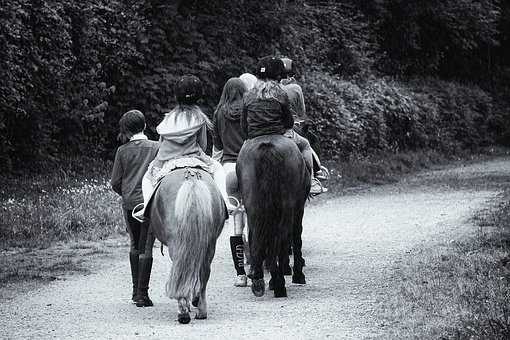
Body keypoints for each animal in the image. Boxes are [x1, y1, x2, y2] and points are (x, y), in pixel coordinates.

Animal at [237, 135, 308, 298]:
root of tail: (267, 147)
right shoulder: (298, 209)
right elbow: (296, 238)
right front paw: (297, 274)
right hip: (287, 209)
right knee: (283, 237)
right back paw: (279, 284)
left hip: (254, 208)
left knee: (257, 236)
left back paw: (259, 279)